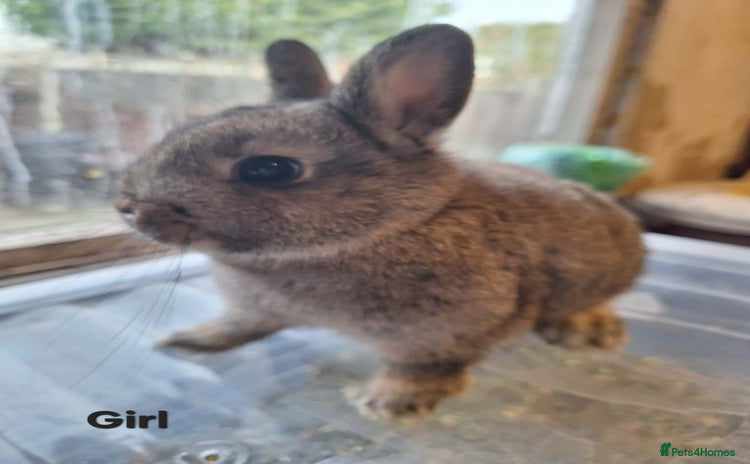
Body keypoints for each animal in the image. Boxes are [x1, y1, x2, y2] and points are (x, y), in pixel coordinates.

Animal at [115, 24, 645, 420]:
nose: (125, 205)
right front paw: (190, 340)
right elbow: (239, 326)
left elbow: (426, 367)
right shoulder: (253, 309)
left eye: (269, 169)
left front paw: (389, 403)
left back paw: (587, 331)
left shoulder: (445, 334)